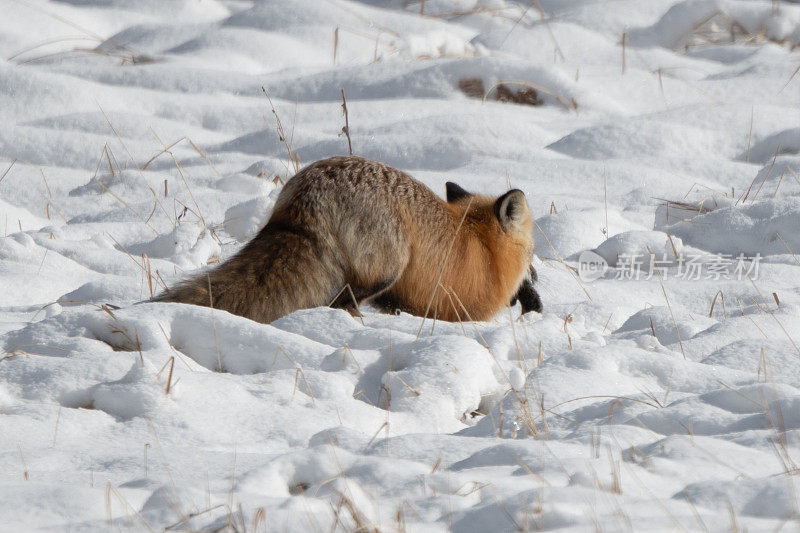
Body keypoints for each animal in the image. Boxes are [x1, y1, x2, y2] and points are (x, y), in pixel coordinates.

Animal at [155, 154, 544, 320]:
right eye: (532, 253)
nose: (538, 275)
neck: (480, 245)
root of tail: (310, 195)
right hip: (388, 267)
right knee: (340, 303)